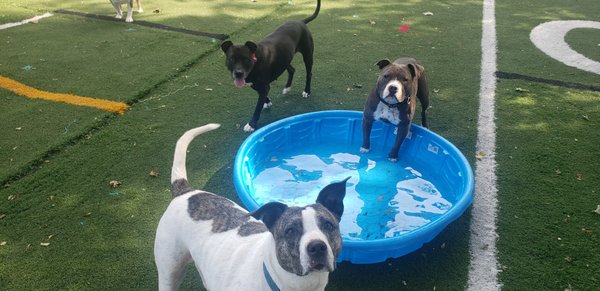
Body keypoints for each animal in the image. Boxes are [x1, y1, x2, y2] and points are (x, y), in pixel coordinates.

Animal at [220, 0, 322, 132]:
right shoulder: (257, 85)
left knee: (309, 73)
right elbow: (262, 95)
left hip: (307, 55)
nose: (238, 73)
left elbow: (258, 107)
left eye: (246, 59)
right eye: (231, 59)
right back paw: (287, 87)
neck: (255, 62)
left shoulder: (263, 86)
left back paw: (307, 91)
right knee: (292, 69)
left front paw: (252, 124)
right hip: (284, 58)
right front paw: (267, 102)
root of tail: (300, 22)